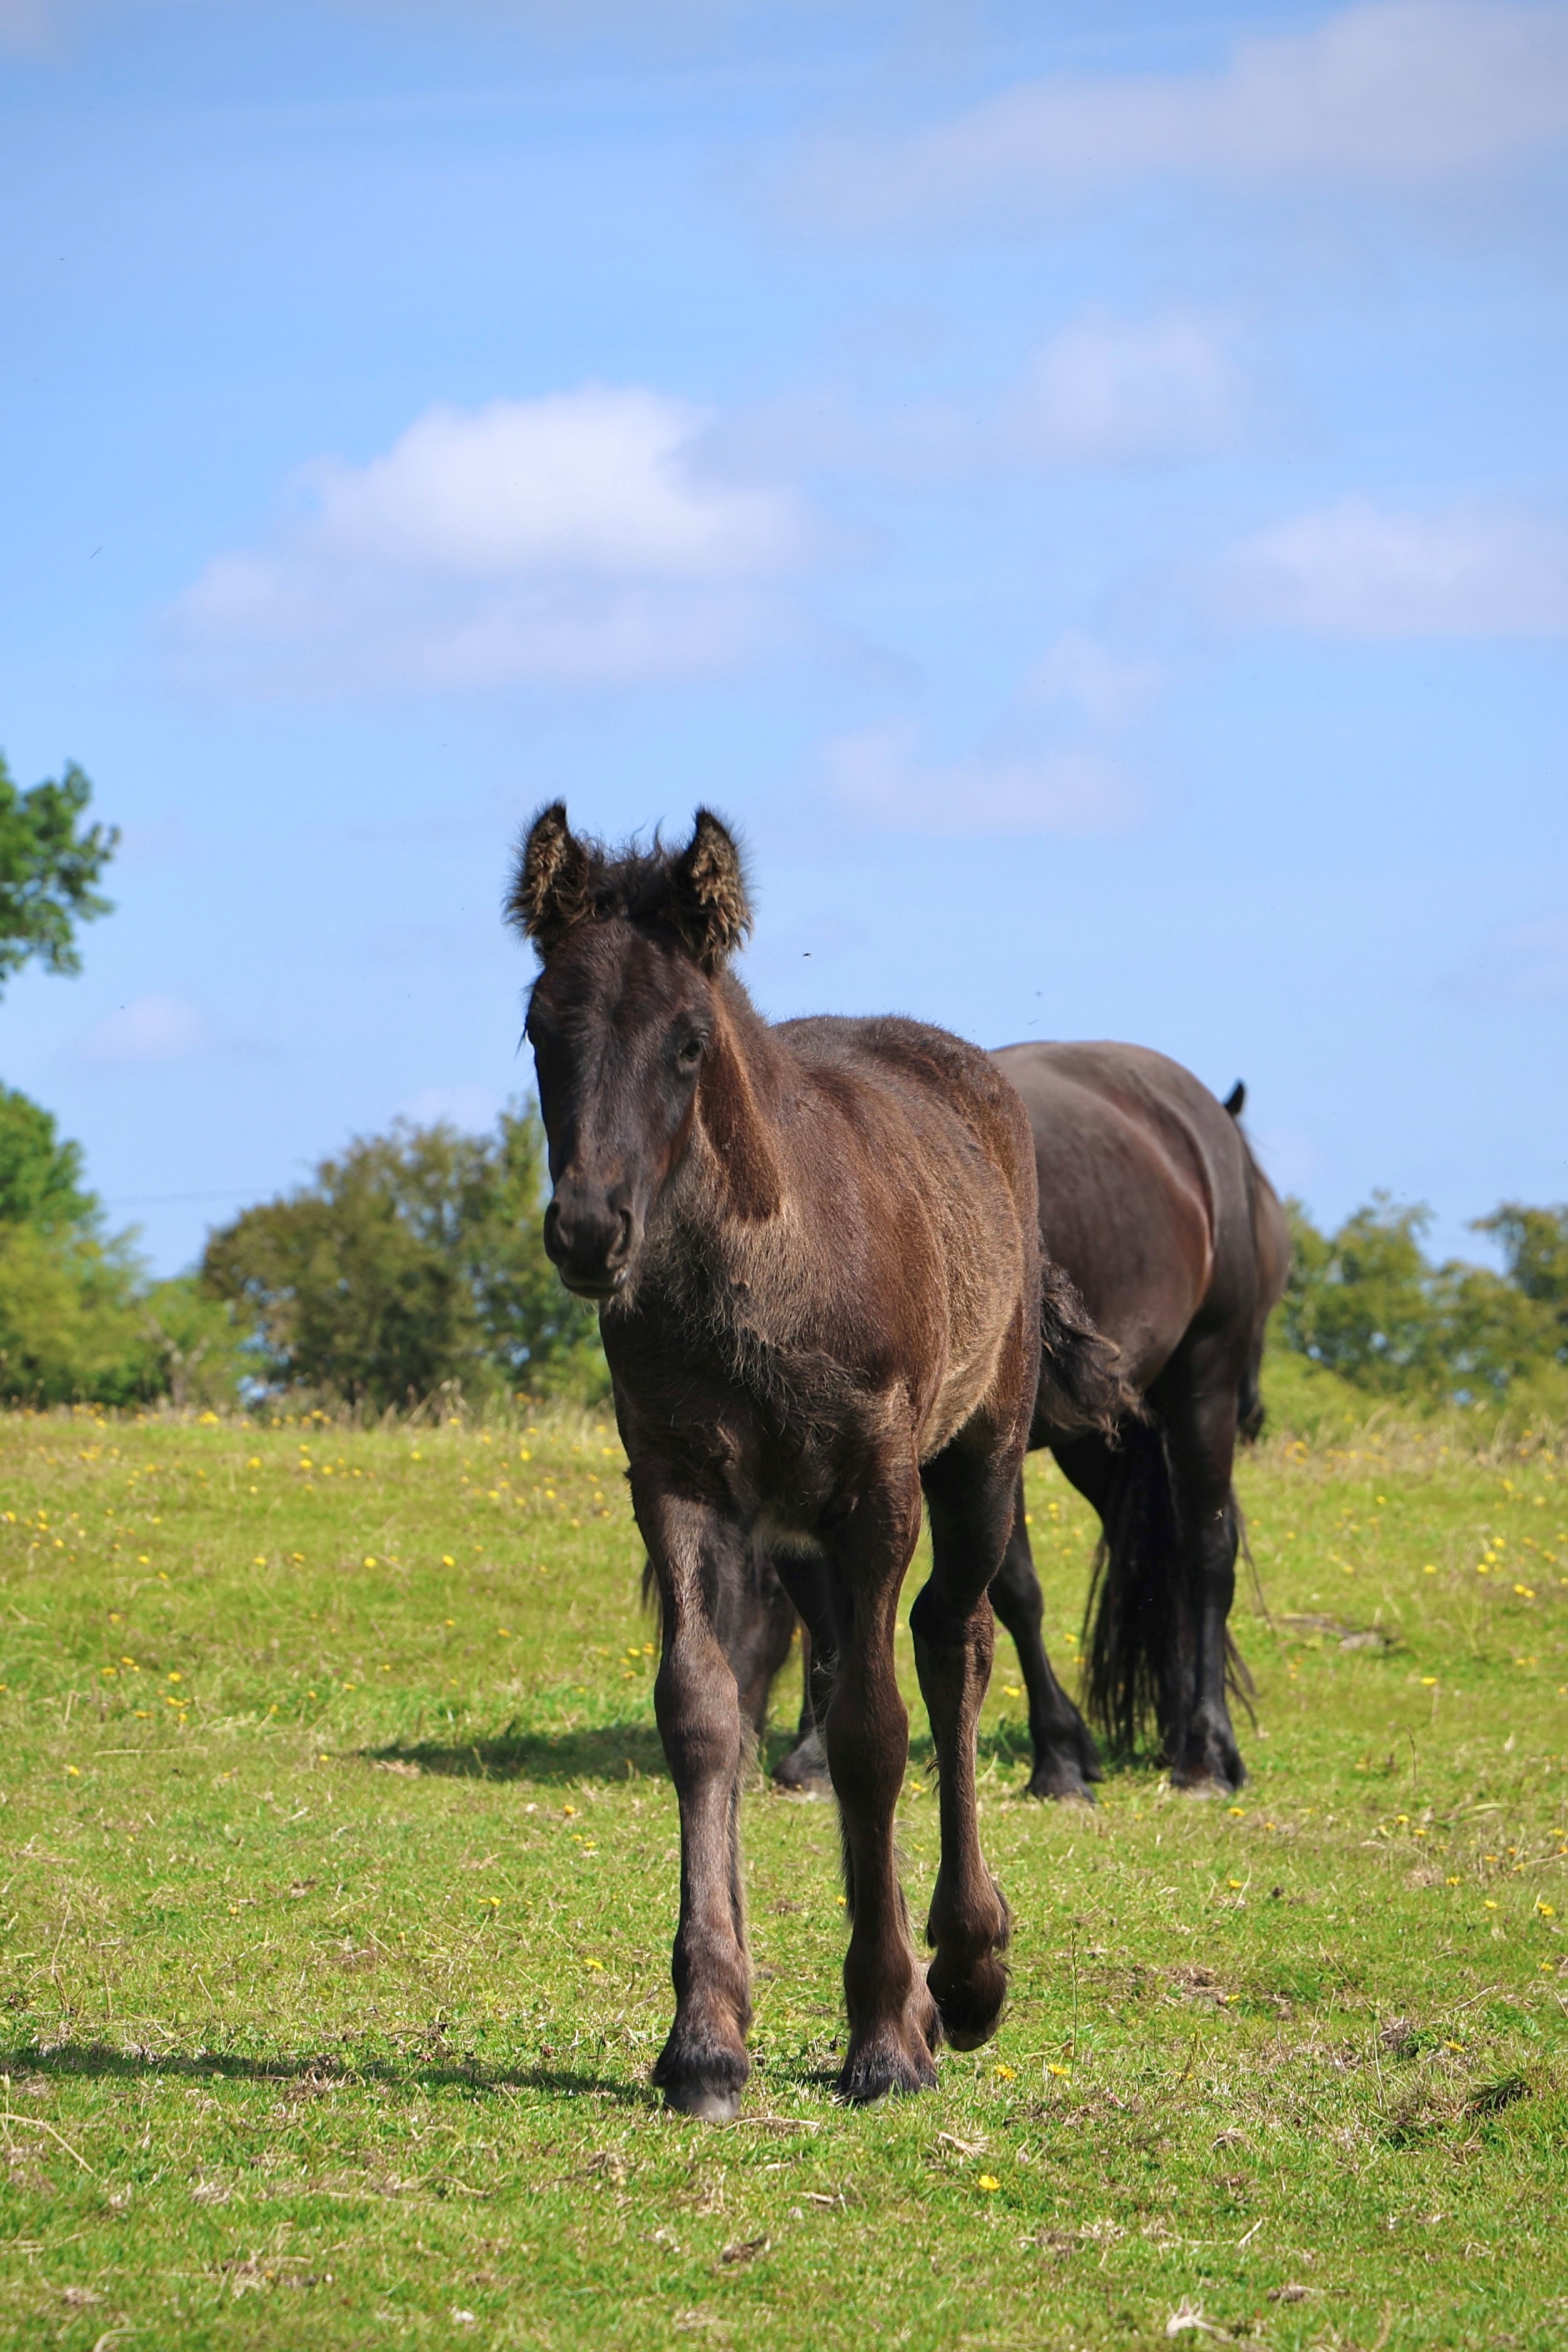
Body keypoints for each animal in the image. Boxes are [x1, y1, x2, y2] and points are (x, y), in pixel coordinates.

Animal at [507, 804, 1130, 2116]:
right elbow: (702, 1713)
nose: (588, 1229)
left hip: (978, 1454)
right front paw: (704, 2037)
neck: (757, 1271)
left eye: (689, 1041)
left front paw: (888, 2030)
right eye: (539, 1026)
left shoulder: (875, 1485)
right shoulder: (676, 1481)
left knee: (953, 1642)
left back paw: (966, 1970)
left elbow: (871, 1732)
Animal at [764, 1044, 1291, 1799]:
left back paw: (1205, 1750)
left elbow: (1012, 1591)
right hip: (1102, 1442)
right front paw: (813, 1755)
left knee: (1207, 1555)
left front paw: (1061, 1757)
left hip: (1205, 1384)